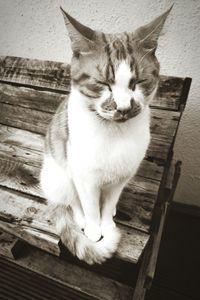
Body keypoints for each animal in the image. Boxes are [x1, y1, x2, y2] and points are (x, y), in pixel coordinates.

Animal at [39, 6, 171, 264]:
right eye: (103, 83)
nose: (124, 107)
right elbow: (90, 207)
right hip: (60, 175)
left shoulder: (121, 178)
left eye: (138, 82)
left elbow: (109, 203)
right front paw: (94, 229)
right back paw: (80, 219)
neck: (115, 133)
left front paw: (108, 222)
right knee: (71, 200)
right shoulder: (85, 177)